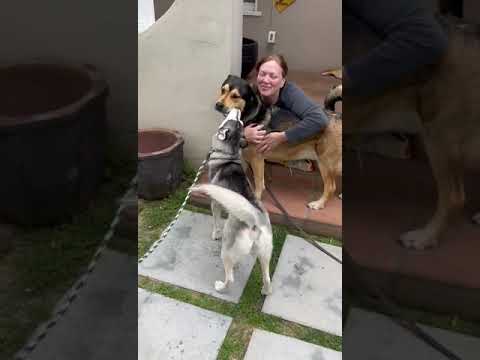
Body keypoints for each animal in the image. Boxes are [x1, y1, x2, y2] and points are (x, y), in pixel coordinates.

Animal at [214, 75, 342, 211]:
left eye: (235, 96)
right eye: (223, 90)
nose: (218, 105)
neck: (250, 114)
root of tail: (337, 116)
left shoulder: (257, 160)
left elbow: (259, 183)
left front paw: (256, 200)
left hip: (326, 163)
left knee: (331, 187)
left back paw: (319, 204)